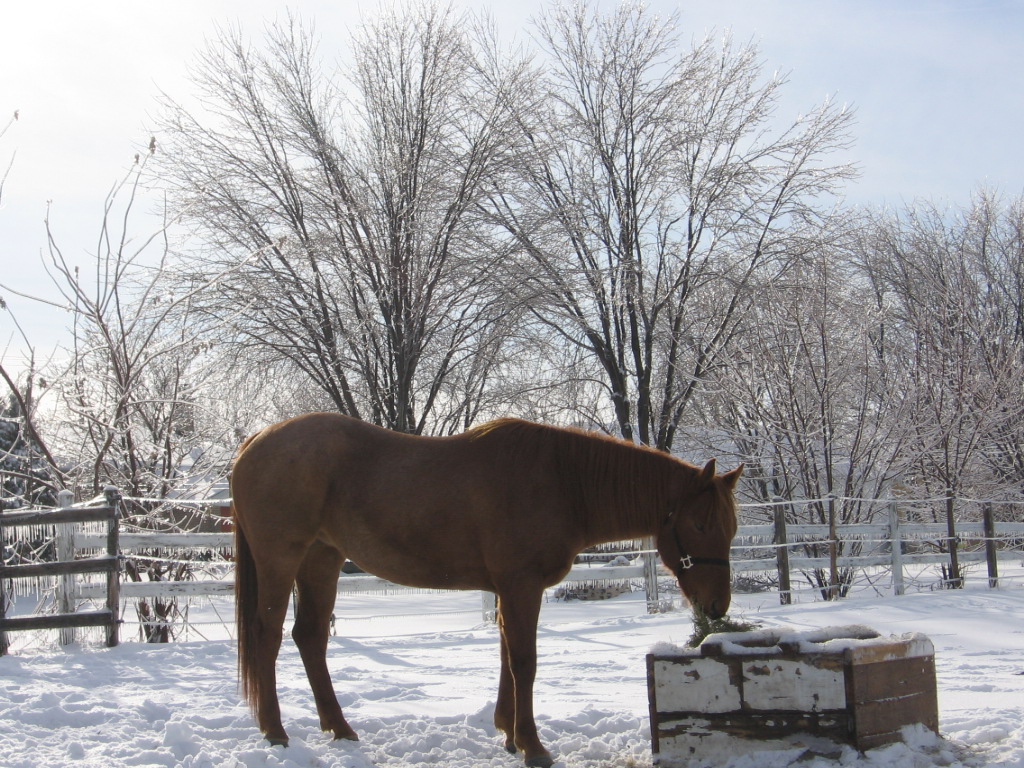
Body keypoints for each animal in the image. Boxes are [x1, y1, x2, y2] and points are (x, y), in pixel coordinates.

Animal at [232, 415, 745, 768]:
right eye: (700, 525)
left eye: (732, 529)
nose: (717, 606)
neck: (561, 482)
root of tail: (256, 442)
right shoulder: (521, 586)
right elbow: (524, 661)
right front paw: (533, 746)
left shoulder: (507, 588)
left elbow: (505, 656)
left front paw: (509, 734)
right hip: (282, 559)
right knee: (267, 635)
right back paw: (275, 732)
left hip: (322, 560)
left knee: (310, 637)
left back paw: (339, 729)